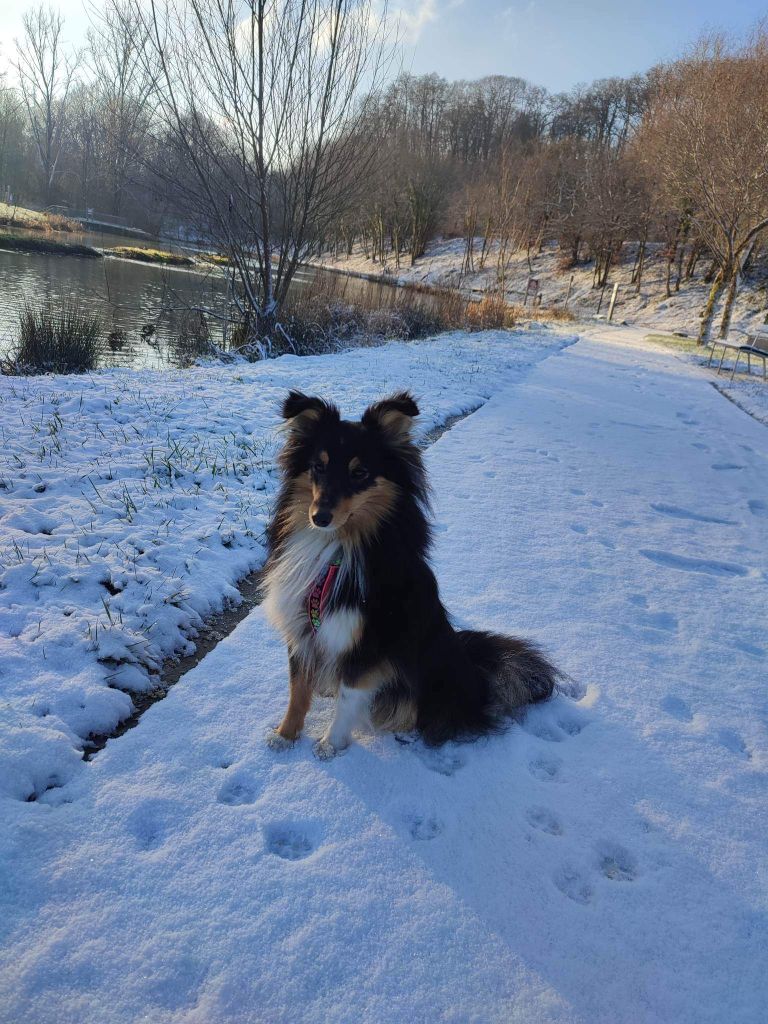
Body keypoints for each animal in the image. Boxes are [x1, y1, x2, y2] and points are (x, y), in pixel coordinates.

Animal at [264, 391, 561, 761]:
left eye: (360, 473)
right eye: (318, 467)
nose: (319, 517)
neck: (338, 545)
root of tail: (475, 673)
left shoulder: (369, 642)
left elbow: (349, 694)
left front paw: (330, 744)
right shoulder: (301, 625)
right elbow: (298, 687)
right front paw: (285, 736)